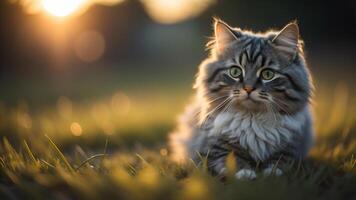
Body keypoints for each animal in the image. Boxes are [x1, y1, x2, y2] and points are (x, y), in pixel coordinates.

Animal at [170, 18, 314, 179]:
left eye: (268, 74)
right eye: (235, 71)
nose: (249, 88)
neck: (253, 118)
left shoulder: (292, 146)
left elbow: (280, 161)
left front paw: (272, 174)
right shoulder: (214, 147)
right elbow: (231, 158)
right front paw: (245, 174)